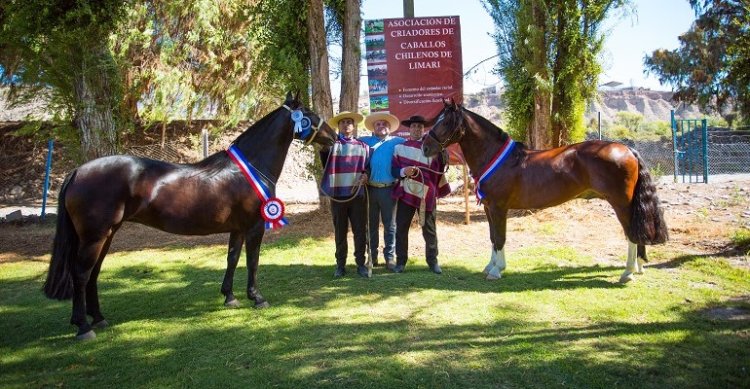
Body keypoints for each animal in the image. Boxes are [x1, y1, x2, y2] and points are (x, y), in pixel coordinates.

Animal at [41, 92, 334, 338]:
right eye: (310, 113)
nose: (334, 136)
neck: (249, 167)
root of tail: (78, 171)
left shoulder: (237, 228)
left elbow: (232, 259)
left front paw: (229, 297)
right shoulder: (254, 227)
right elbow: (252, 261)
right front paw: (257, 297)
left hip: (107, 235)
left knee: (93, 273)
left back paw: (99, 319)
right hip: (94, 237)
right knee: (81, 274)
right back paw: (83, 327)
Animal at [424, 100, 668, 282]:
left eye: (446, 122)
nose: (426, 147)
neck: (495, 157)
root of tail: (628, 149)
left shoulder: (499, 208)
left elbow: (500, 237)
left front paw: (496, 270)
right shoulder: (488, 208)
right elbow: (493, 237)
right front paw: (490, 266)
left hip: (621, 203)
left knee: (631, 232)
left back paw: (627, 273)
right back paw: (638, 267)